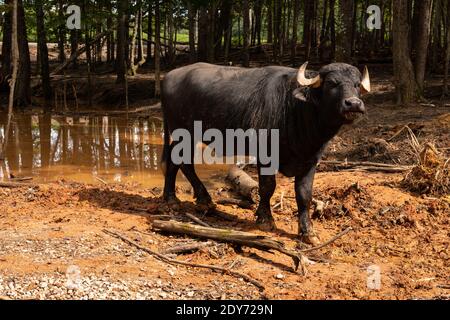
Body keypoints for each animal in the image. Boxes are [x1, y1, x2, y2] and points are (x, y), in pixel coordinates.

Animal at [161, 61, 370, 244]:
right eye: (332, 83)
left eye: (357, 84)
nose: (353, 103)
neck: (295, 109)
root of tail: (169, 76)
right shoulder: (266, 156)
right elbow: (267, 187)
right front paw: (265, 220)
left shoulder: (310, 160)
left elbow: (304, 195)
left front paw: (308, 232)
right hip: (182, 133)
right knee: (179, 162)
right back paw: (181, 199)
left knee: (178, 162)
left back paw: (189, 199)